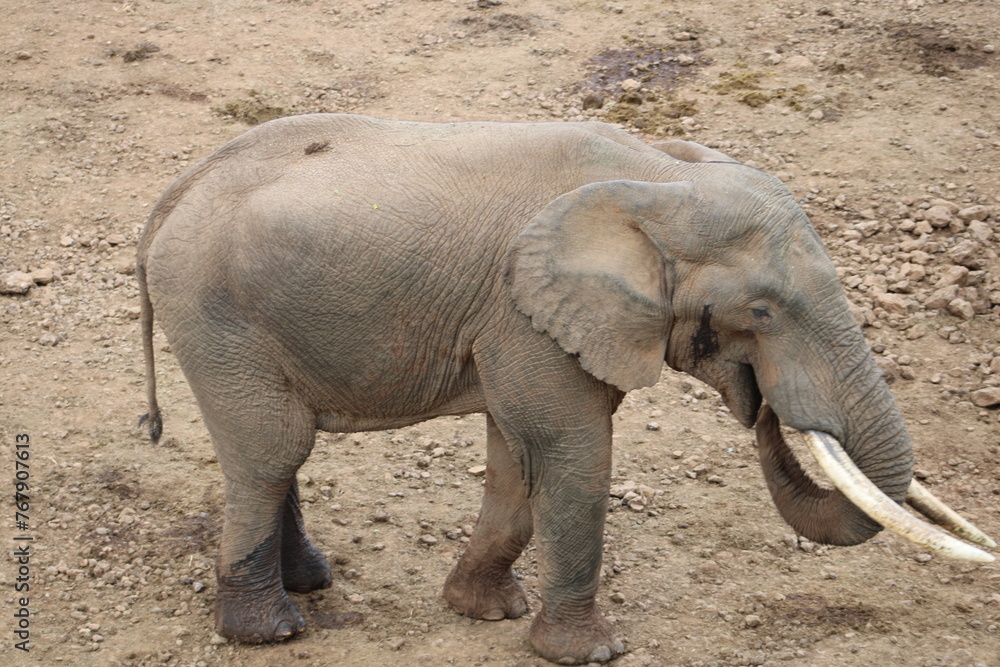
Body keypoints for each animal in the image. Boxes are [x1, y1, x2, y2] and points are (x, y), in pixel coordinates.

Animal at [136, 114, 994, 665]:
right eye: (761, 312)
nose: (762, 405)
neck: (660, 178)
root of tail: (173, 192)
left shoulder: (526, 322)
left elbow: (518, 458)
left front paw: (485, 611)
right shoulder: (526, 314)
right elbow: (571, 450)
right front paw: (592, 652)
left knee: (282, 448)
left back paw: (311, 583)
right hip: (215, 315)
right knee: (271, 448)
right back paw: (272, 632)